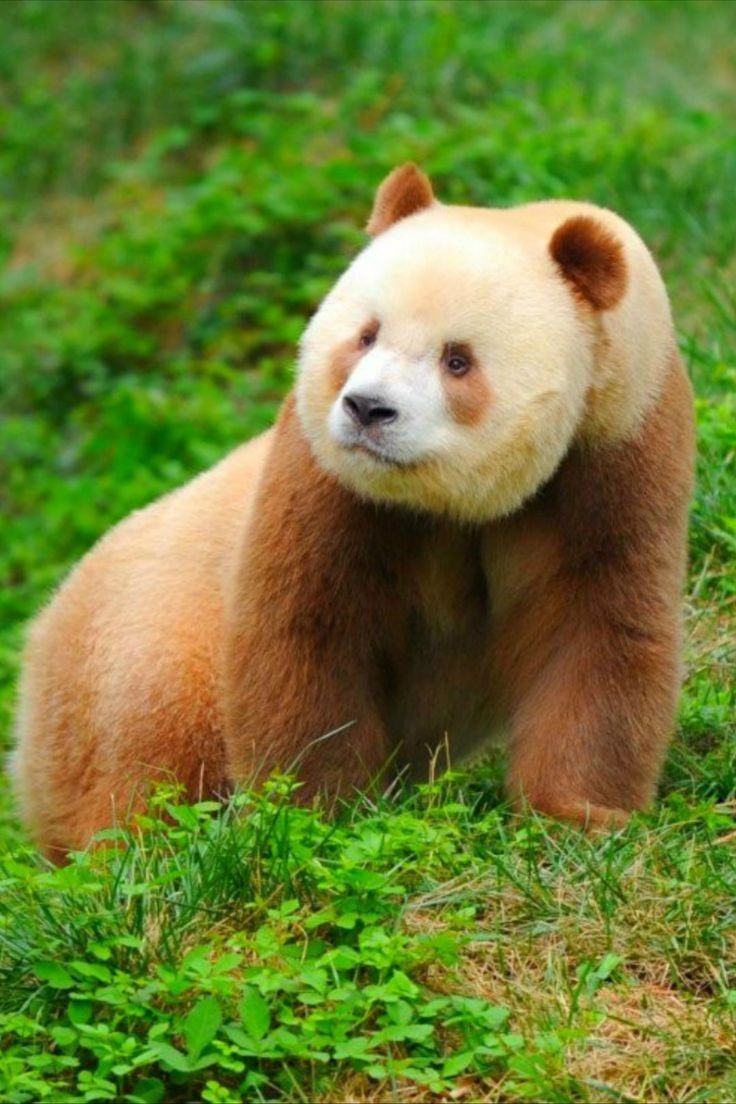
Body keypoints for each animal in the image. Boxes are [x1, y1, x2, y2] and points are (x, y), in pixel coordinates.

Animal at [11, 167, 697, 861]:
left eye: (457, 359)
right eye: (366, 335)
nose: (368, 408)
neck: (453, 502)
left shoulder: (616, 450)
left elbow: (597, 629)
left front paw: (581, 816)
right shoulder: (325, 475)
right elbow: (309, 631)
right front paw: (316, 819)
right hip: (141, 645)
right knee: (150, 755)